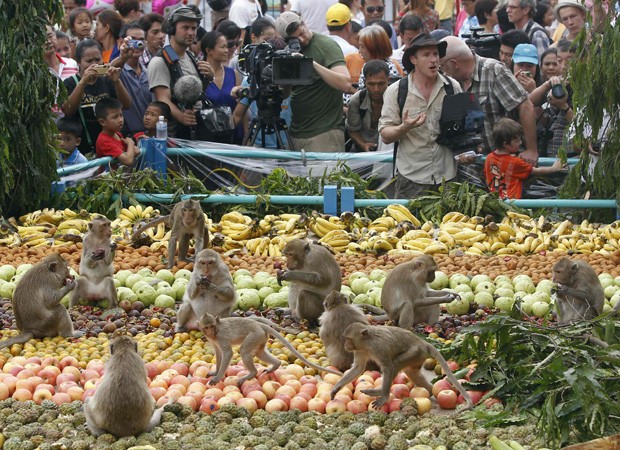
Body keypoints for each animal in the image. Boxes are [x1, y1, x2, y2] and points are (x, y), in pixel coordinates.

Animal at [200, 314, 342, 384]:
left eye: (212, 326)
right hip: (260, 337)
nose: (210, 331)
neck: (217, 331)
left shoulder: (221, 336)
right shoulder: (213, 340)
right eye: (206, 327)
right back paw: (276, 365)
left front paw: (218, 377)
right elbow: (218, 353)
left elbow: (227, 353)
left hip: (255, 335)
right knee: (258, 352)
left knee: (244, 351)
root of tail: (260, 324)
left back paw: (252, 374)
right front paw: (215, 372)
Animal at [332, 322, 472, 410]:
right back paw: (431, 390)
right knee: (412, 373)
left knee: (395, 364)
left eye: (349, 339)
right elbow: (358, 368)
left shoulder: (377, 347)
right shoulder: (359, 350)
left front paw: (384, 398)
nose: (346, 345)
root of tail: (422, 342)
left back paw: (381, 391)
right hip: (418, 357)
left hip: (415, 352)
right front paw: (336, 389)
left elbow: (388, 367)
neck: (366, 342)